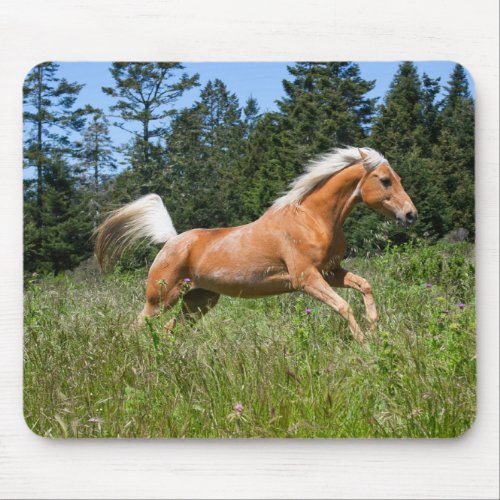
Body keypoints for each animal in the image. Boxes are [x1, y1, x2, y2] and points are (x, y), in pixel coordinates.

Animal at [95, 146, 416, 342]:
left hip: (199, 302)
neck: (312, 219)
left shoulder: (331, 272)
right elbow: (344, 307)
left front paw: (375, 330)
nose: (411, 214)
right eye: (385, 180)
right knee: (139, 326)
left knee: (169, 330)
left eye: (398, 177)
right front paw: (364, 344)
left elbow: (365, 287)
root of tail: (171, 240)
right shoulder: (306, 279)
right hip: (161, 299)